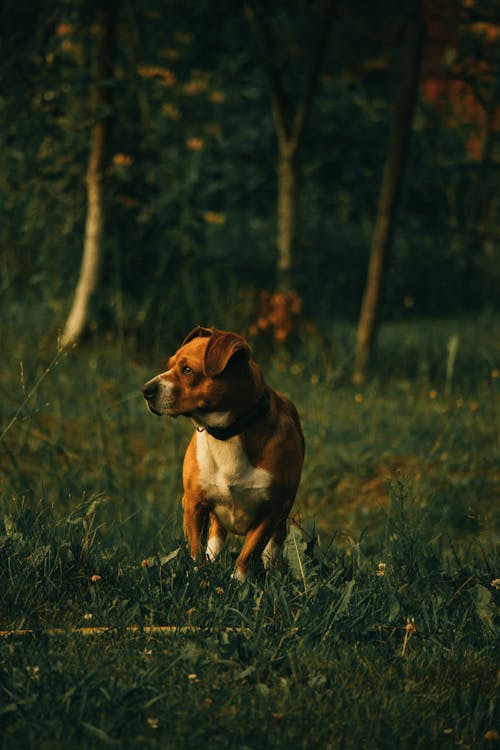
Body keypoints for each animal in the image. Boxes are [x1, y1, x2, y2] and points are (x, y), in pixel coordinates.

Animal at [141, 328, 304, 580]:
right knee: (216, 534)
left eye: (187, 370)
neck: (227, 434)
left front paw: (238, 581)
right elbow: (195, 548)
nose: (146, 390)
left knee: (274, 543)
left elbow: (248, 553)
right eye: (169, 365)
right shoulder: (193, 502)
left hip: (283, 513)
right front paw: (197, 574)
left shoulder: (271, 511)